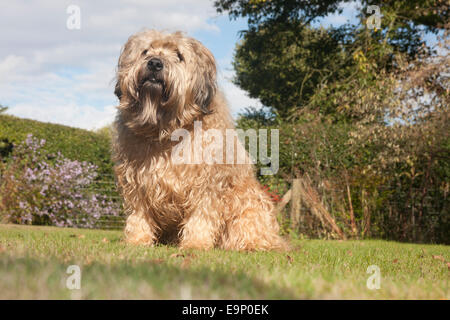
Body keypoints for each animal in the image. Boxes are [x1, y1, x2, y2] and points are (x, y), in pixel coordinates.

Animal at [114, 30, 286, 250]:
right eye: (145, 51)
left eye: (179, 55)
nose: (154, 63)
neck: (167, 131)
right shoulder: (136, 182)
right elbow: (139, 213)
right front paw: (137, 240)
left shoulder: (207, 183)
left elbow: (202, 214)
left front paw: (195, 243)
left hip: (249, 205)